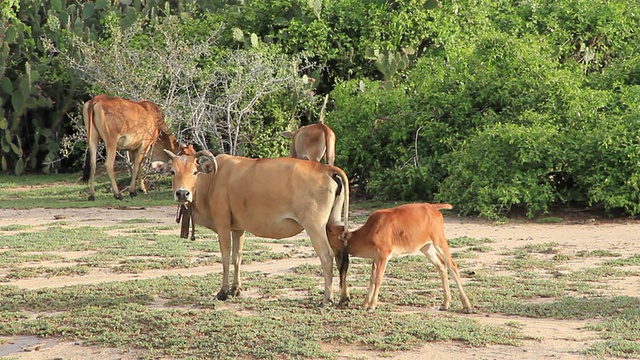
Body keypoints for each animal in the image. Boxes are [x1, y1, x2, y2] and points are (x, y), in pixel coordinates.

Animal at [154, 150, 350, 306]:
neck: (212, 180)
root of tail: (326, 169)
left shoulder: (223, 225)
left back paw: (327, 299)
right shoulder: (238, 229)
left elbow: (226, 258)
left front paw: (223, 292)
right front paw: (235, 289)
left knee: (327, 257)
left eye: (195, 172)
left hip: (315, 227)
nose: (182, 193)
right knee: (341, 257)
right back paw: (344, 298)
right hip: (332, 225)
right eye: (173, 172)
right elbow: (237, 258)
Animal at [328, 202, 472, 312]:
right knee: (441, 265)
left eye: (330, 230)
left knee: (452, 265)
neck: (369, 231)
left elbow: (378, 280)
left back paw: (467, 306)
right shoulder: (376, 258)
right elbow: (372, 279)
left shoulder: (384, 255)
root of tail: (433, 207)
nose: (326, 226)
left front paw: (372, 306)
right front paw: (364, 304)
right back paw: (445, 304)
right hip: (426, 247)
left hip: (439, 241)